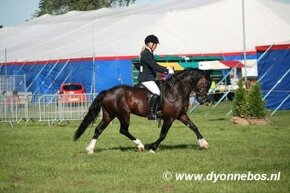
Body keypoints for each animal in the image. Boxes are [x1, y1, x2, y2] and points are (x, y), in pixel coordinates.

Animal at [73, 68, 212, 154]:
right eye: (205, 83)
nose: (203, 100)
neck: (176, 91)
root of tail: (107, 91)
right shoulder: (169, 118)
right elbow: (163, 135)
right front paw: (153, 147)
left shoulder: (181, 115)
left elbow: (194, 127)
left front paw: (204, 143)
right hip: (123, 114)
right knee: (123, 130)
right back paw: (140, 145)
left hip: (109, 115)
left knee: (99, 129)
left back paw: (90, 149)